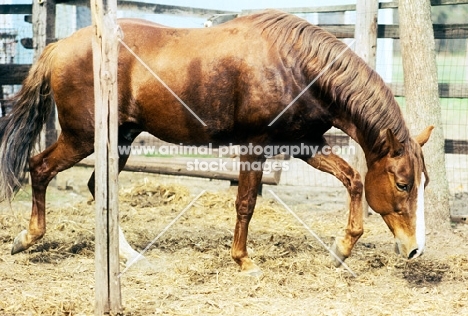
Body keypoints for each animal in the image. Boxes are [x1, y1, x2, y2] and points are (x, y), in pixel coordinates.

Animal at [0, 11, 432, 274]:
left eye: (421, 183)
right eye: (402, 184)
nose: (415, 249)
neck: (294, 66)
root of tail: (59, 46)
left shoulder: (304, 144)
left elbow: (353, 180)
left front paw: (343, 247)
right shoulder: (256, 146)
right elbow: (246, 203)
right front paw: (243, 260)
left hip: (118, 140)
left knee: (97, 187)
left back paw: (127, 254)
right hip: (83, 138)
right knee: (40, 168)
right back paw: (27, 238)